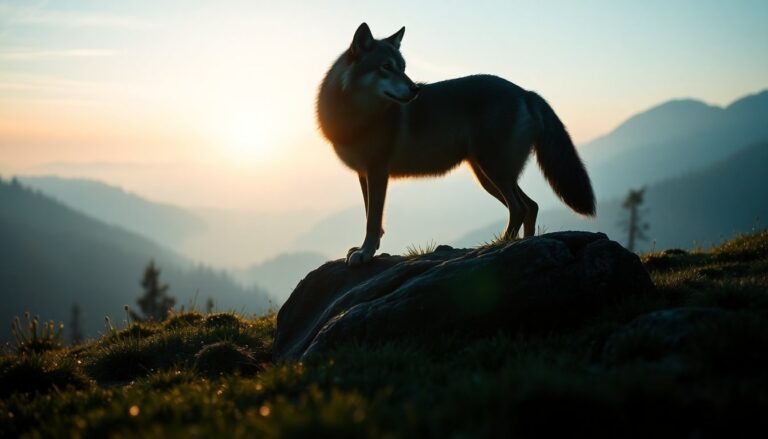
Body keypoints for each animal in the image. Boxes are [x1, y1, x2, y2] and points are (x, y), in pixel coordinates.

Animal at [317, 23, 595, 266]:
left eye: (403, 67)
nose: (415, 89)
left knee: (519, 207)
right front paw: (368, 250)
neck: (356, 117)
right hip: (489, 176)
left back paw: (499, 246)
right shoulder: (365, 174)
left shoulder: (378, 172)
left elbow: (372, 221)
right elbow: (370, 216)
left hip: (494, 172)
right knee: (531, 206)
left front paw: (365, 254)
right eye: (386, 67)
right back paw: (524, 244)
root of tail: (526, 92)